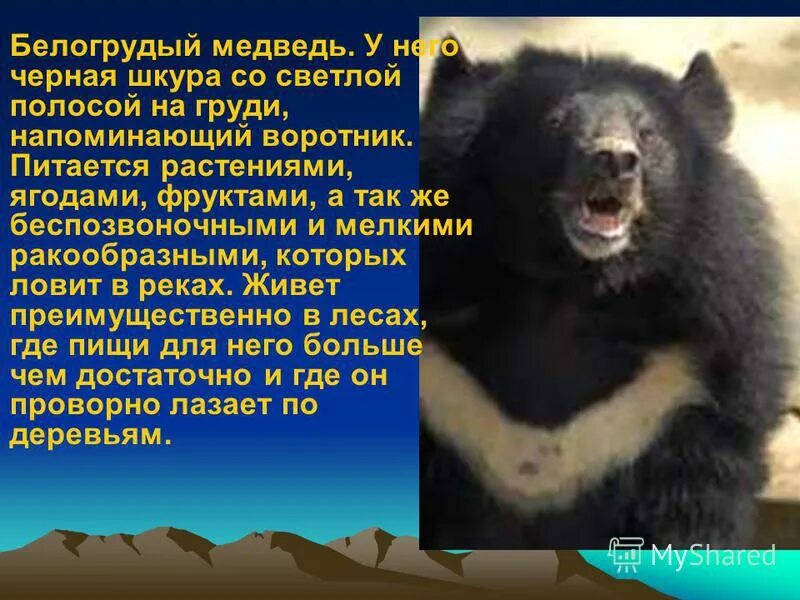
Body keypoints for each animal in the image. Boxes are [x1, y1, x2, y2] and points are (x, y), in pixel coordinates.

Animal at [418, 41, 791, 550]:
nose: (615, 161)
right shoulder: (438, 390)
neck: (565, 288)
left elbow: (696, 508)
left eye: (647, 133)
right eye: (556, 121)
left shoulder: (691, 390)